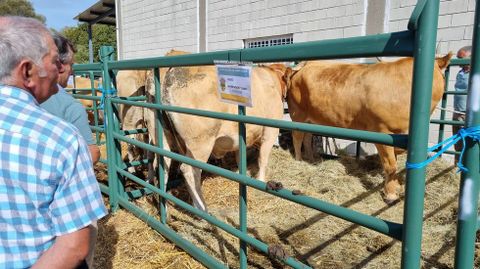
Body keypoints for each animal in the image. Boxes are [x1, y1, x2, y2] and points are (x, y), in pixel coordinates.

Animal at [144, 50, 286, 209]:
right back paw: (202, 208)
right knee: (189, 171)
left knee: (162, 163)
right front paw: (261, 181)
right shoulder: (271, 129)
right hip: (200, 143)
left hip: (161, 134)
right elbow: (263, 158)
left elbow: (239, 157)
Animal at [286, 53, 452, 202]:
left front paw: (396, 186)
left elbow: (396, 159)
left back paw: (311, 159)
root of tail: (305, 64)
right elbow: (390, 165)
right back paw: (299, 160)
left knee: (307, 137)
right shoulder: (382, 130)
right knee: (297, 137)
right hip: (297, 114)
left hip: (310, 119)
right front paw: (390, 195)